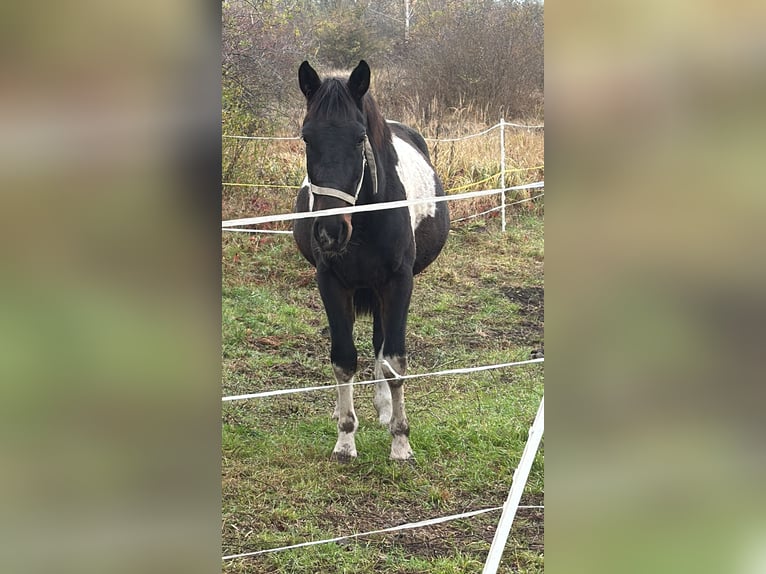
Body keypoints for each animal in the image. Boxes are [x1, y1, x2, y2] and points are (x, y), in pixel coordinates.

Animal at [292, 60, 450, 462]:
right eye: (307, 138)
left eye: (359, 137)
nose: (330, 231)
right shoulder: (331, 283)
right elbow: (343, 359)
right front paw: (345, 439)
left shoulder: (398, 283)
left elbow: (393, 362)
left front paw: (401, 441)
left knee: (381, 345)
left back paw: (384, 408)